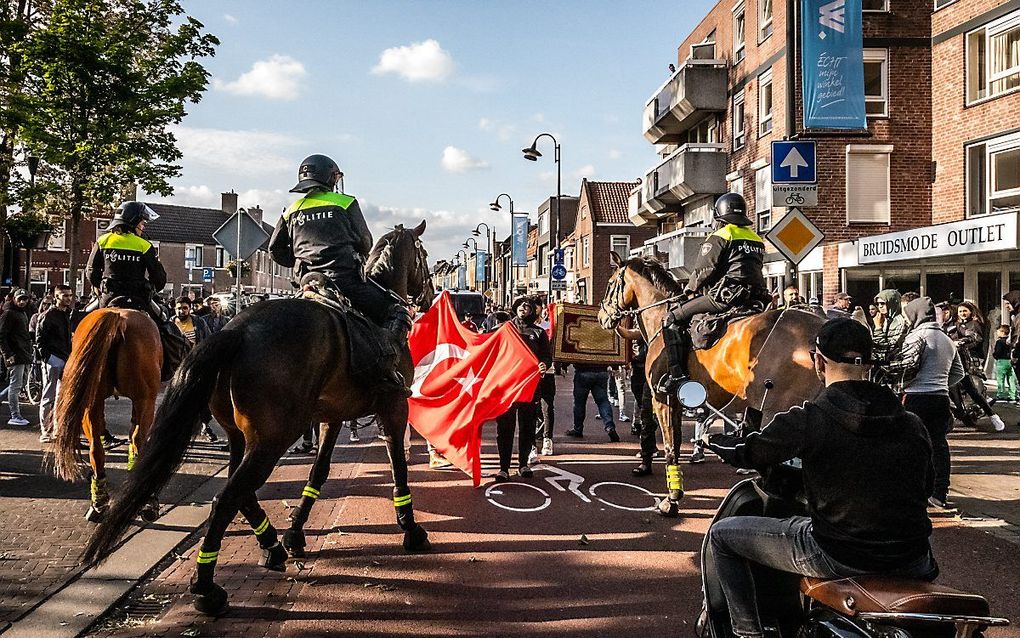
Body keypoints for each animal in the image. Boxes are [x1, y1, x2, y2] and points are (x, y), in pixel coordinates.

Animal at [51, 306, 163, 520]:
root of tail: (118, 318)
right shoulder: (143, 402)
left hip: (91, 402)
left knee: (96, 448)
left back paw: (98, 503)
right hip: (146, 400)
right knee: (138, 441)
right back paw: (147, 502)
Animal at [79, 221, 430, 616]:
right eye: (422, 255)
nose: (429, 295)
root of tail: (235, 330)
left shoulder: (332, 417)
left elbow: (319, 472)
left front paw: (296, 533)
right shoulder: (393, 408)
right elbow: (398, 465)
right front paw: (411, 528)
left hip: (241, 436)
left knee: (237, 490)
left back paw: (272, 547)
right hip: (271, 438)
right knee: (227, 497)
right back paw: (207, 588)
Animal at [595, 251, 828, 514]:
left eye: (610, 284)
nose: (601, 316)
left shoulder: (663, 398)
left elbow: (670, 446)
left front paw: (672, 498)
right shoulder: (679, 402)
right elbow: (676, 442)